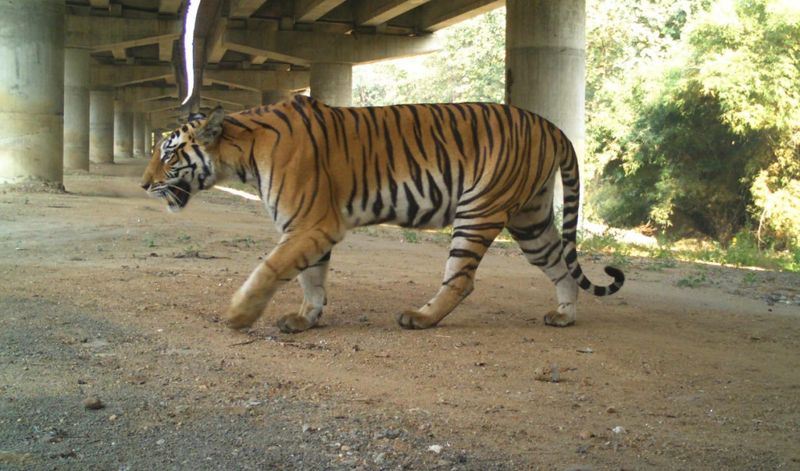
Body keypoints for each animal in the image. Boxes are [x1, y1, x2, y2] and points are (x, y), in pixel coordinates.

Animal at [141, 95, 624, 333]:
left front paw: (240, 315)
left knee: (462, 279)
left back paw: (422, 318)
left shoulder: (312, 224)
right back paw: (564, 315)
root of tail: (550, 125)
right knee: (559, 263)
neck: (241, 152)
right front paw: (306, 319)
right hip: (531, 218)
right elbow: (311, 279)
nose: (144, 184)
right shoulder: (307, 229)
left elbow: (270, 269)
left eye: (168, 154)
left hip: (480, 208)